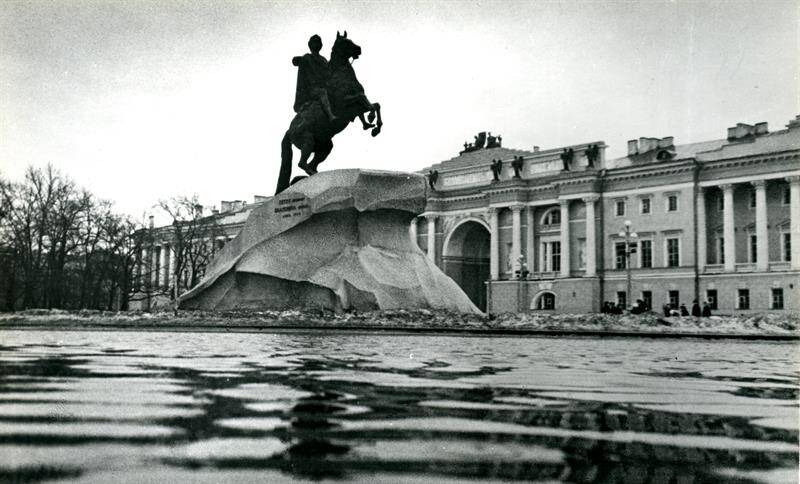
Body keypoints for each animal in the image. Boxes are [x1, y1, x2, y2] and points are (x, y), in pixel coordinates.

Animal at [276, 30, 382, 195]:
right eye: (345, 42)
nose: (359, 49)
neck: (342, 77)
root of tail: (289, 131)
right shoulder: (346, 103)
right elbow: (363, 98)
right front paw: (371, 120)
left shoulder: (356, 108)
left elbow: (375, 104)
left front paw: (373, 126)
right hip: (308, 141)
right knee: (302, 163)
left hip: (324, 146)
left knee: (312, 164)